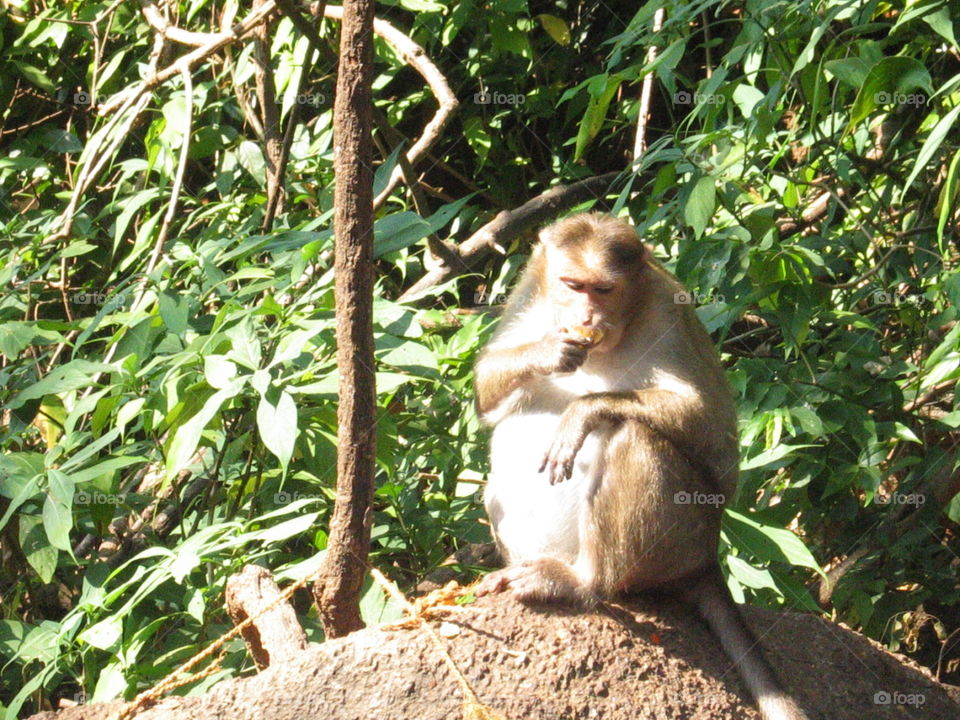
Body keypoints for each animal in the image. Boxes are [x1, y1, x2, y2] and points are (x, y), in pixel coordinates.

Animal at [474, 213, 810, 720]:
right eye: (572, 285)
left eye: (603, 289)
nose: (586, 318)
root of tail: (707, 559)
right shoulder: (528, 290)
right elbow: (487, 395)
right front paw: (547, 351)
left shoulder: (669, 309)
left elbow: (709, 422)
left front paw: (582, 413)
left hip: (683, 541)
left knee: (634, 437)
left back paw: (582, 583)